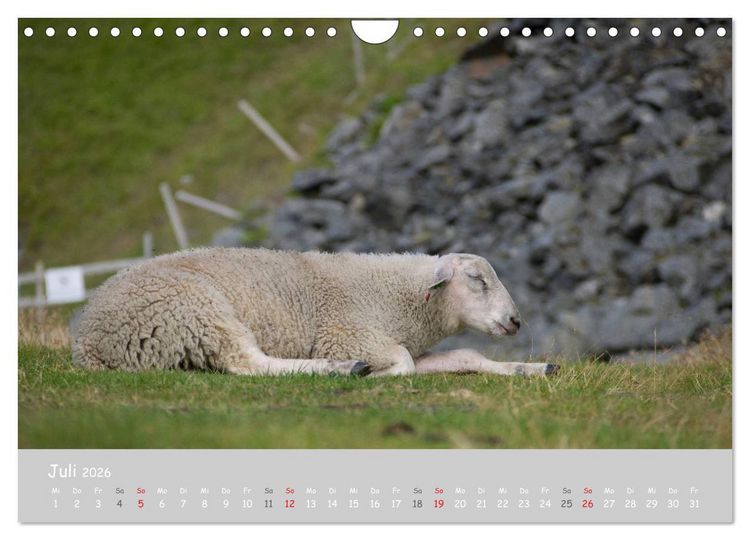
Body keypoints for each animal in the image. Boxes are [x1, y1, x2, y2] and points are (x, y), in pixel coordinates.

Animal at [72, 248, 559, 377]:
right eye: (477, 279)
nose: (516, 322)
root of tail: (88, 341)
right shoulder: (348, 332)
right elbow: (402, 363)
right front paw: (373, 373)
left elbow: (466, 357)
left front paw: (533, 369)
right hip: (197, 310)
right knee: (249, 364)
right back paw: (341, 369)